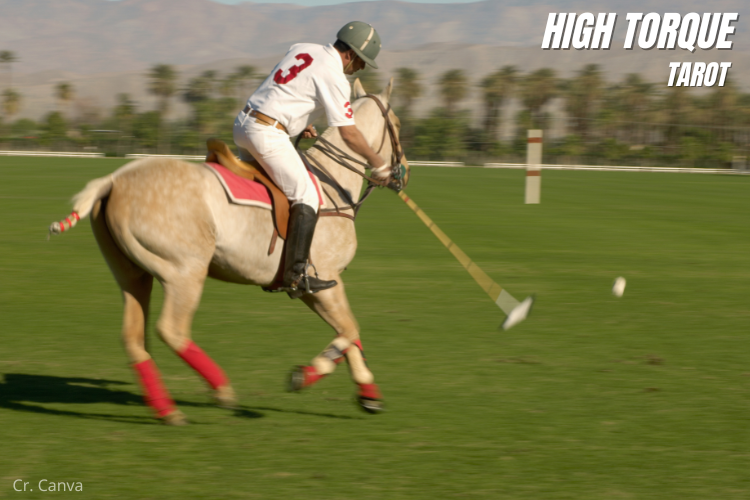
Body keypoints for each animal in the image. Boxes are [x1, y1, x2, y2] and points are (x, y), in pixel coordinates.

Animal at [49, 78, 408, 425]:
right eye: (398, 124)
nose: (402, 171)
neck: (333, 186)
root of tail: (113, 180)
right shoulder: (325, 279)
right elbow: (349, 329)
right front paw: (306, 375)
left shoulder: (314, 286)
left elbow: (348, 330)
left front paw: (369, 395)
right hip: (184, 271)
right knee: (171, 330)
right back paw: (221, 390)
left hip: (131, 274)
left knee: (134, 338)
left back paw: (167, 410)